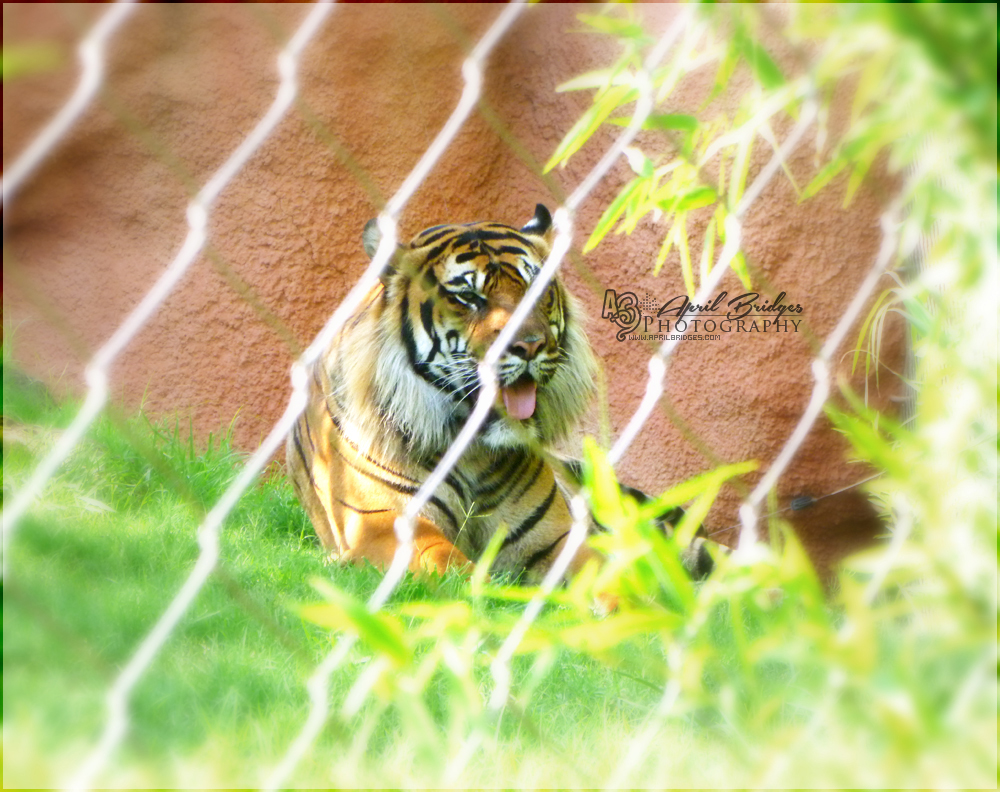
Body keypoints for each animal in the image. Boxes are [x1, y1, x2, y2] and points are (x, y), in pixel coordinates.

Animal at [286, 204, 708, 594]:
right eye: (468, 297)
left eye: (536, 291)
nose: (530, 346)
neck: (473, 452)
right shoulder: (385, 525)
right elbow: (451, 565)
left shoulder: (556, 534)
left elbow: (606, 578)